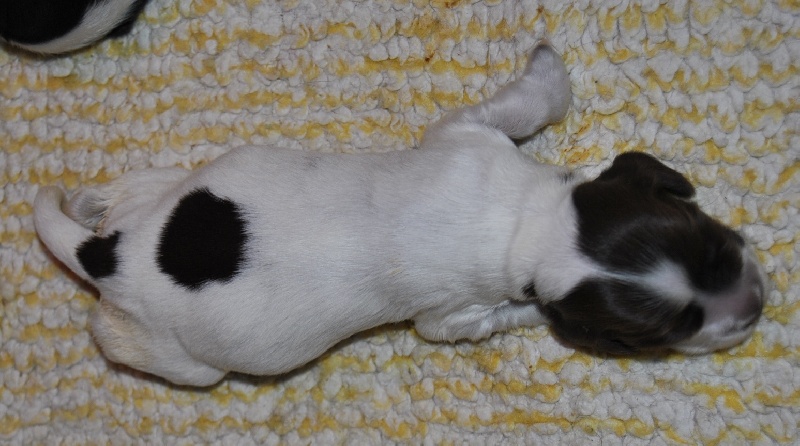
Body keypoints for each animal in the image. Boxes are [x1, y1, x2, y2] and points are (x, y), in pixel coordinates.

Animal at [33, 43, 766, 386]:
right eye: (671, 329)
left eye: (712, 245)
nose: (754, 304)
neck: (527, 222)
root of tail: (112, 257)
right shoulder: (452, 317)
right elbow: (498, 316)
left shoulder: (468, 137)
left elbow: (523, 105)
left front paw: (549, 73)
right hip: (178, 356)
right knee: (120, 337)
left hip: (178, 192)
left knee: (141, 193)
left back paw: (107, 197)